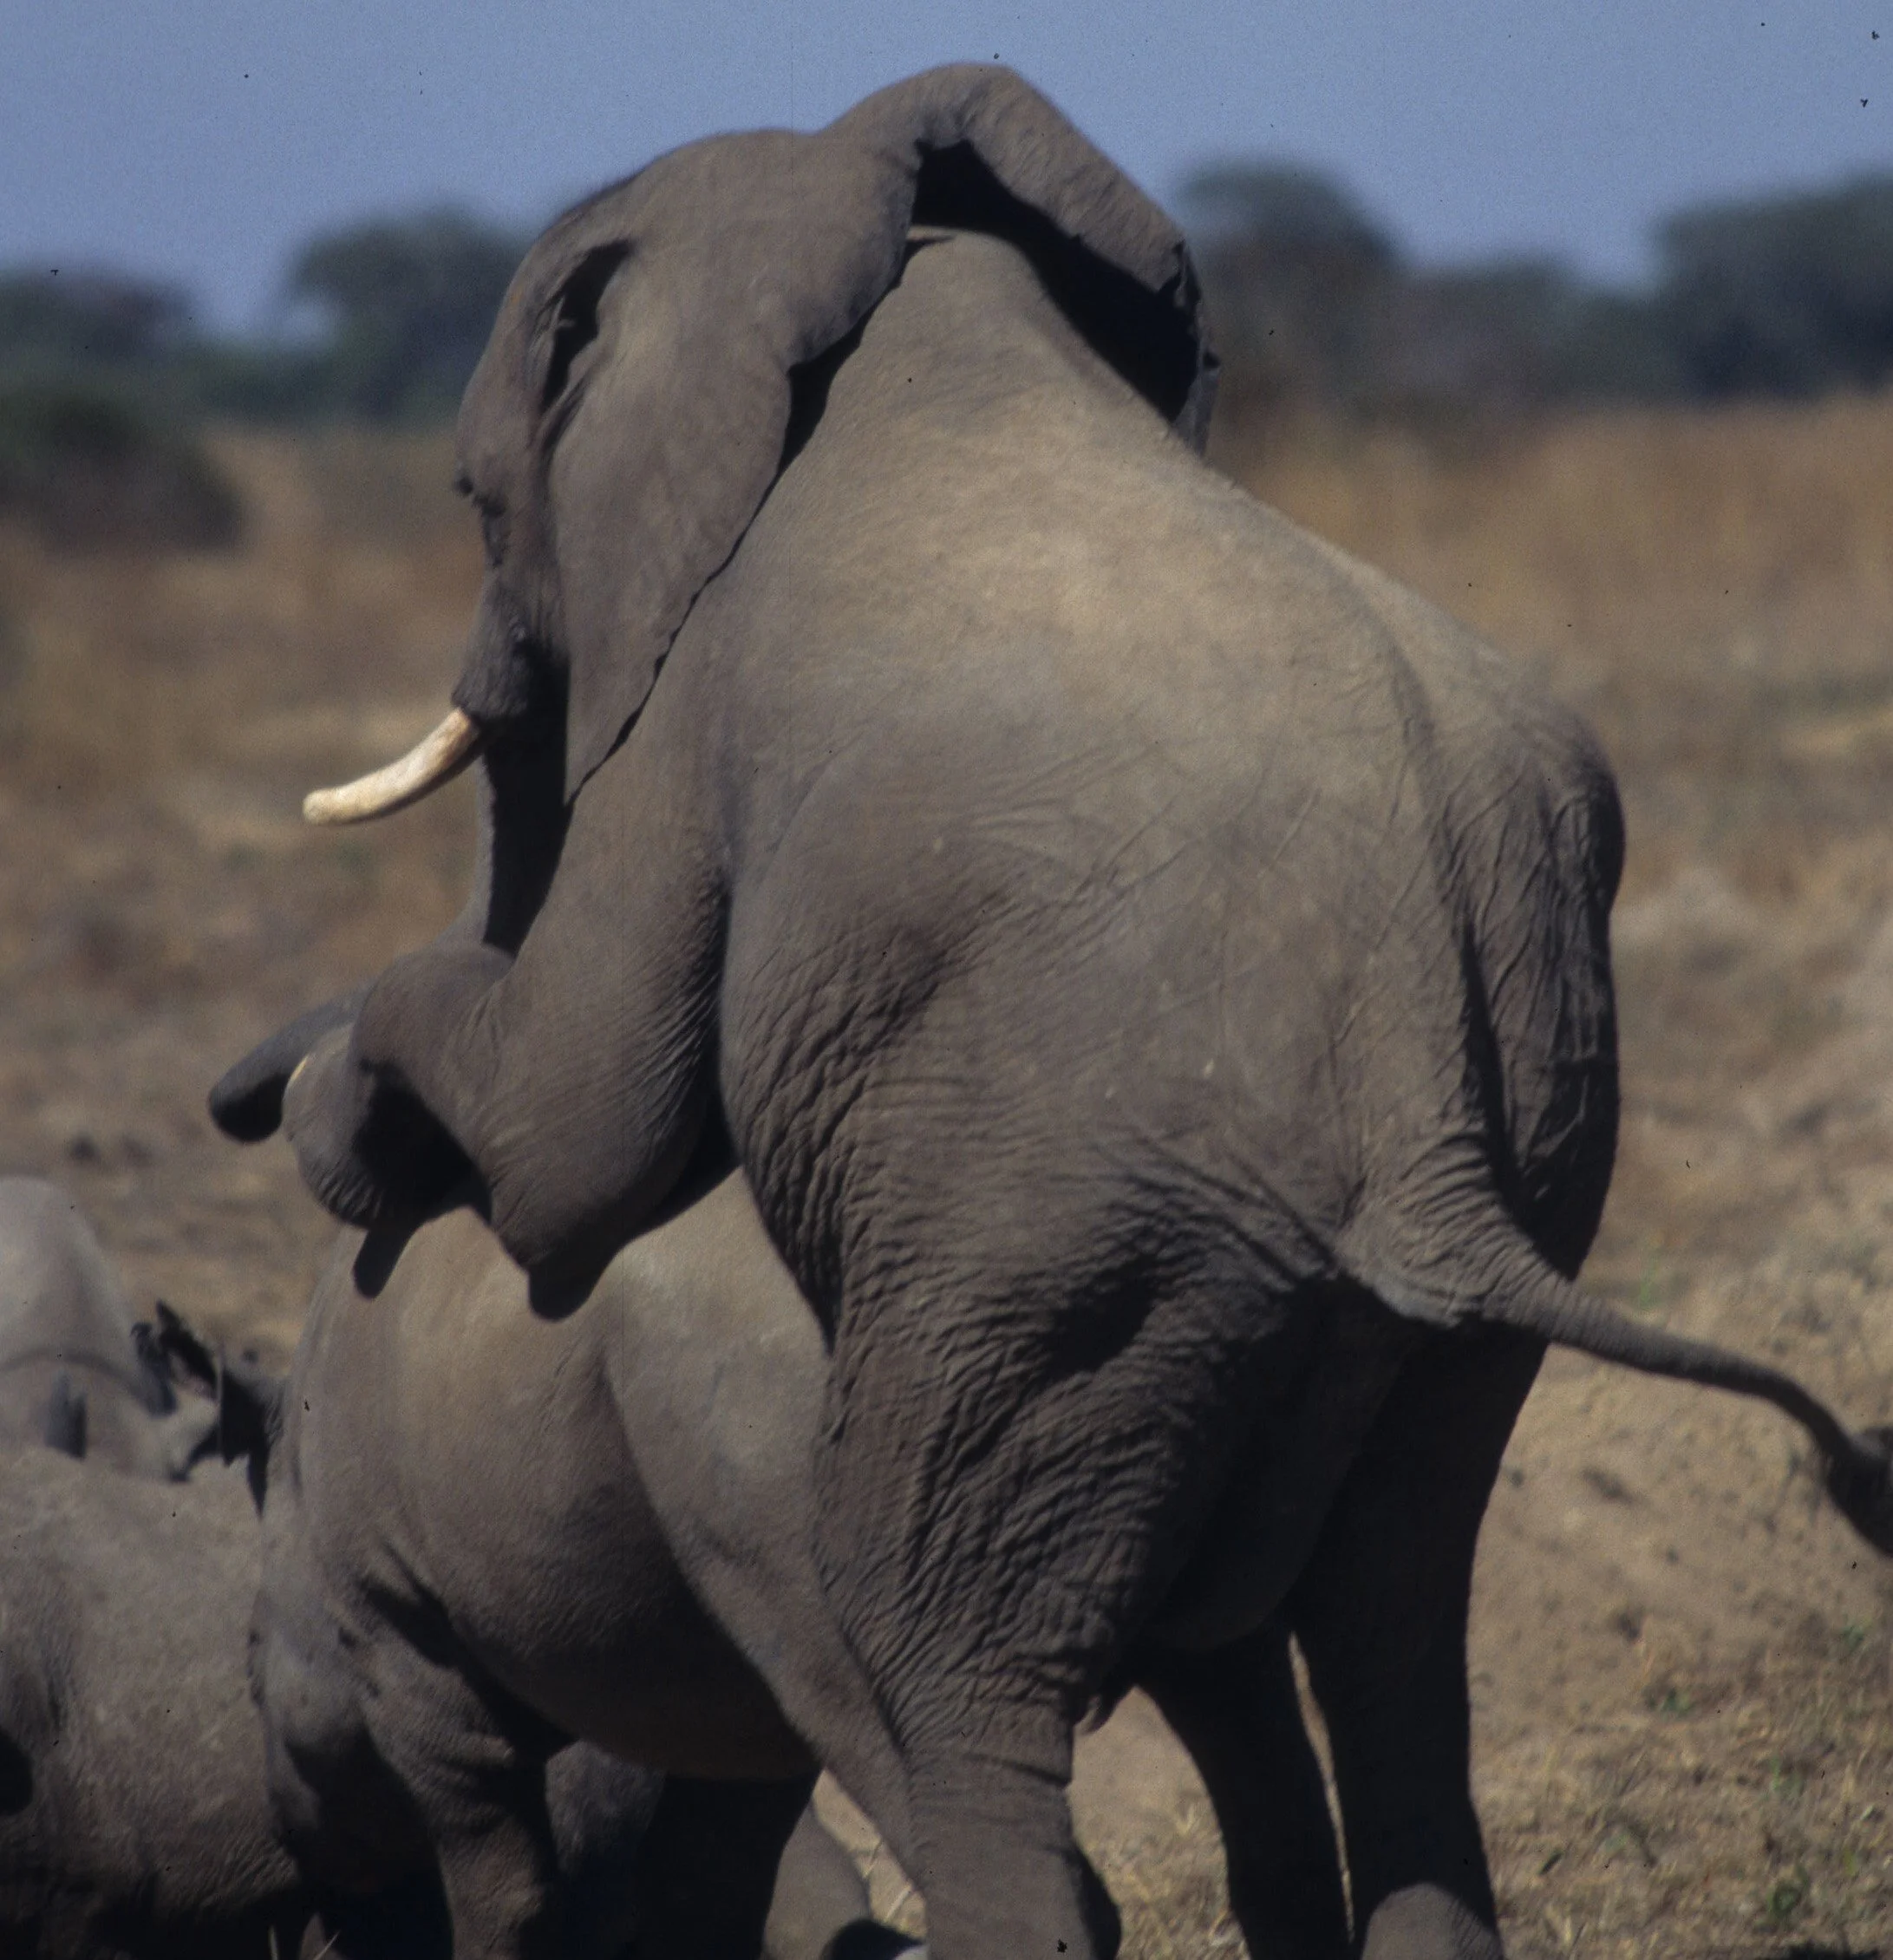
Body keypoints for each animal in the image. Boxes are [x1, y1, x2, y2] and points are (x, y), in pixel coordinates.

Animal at [228, 64, 1893, 1959]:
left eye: (470, 492)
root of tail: (1429, 1171)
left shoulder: (696, 705)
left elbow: (581, 1135)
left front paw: (350, 1121)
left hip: (1066, 1254)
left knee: (933, 1639)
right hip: (1465, 1238)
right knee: (1392, 1628)